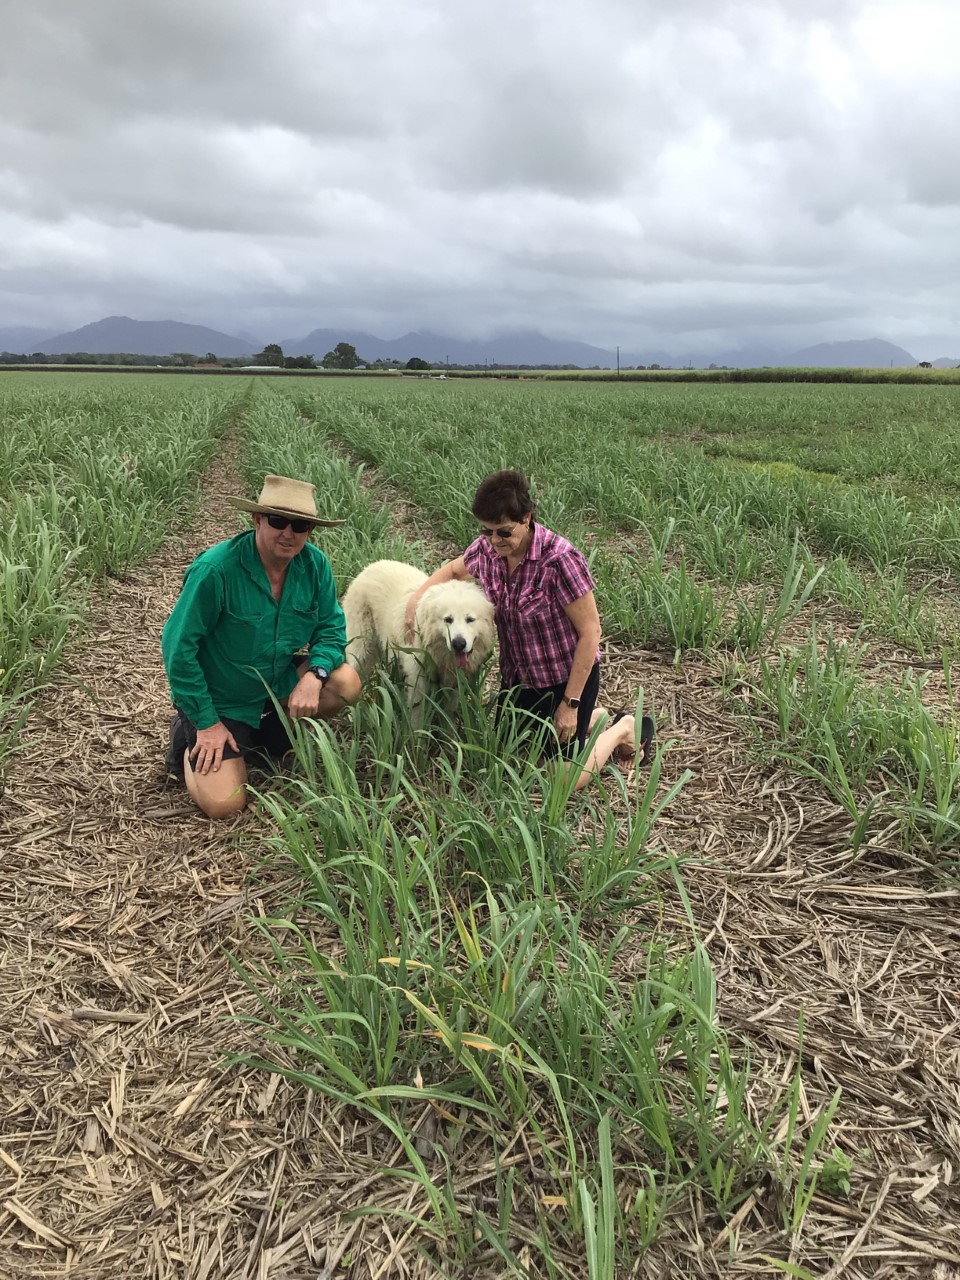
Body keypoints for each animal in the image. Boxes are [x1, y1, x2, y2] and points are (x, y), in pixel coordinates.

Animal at [343, 558, 496, 727]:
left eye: (470, 619)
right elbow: (417, 713)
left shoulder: (454, 683)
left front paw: (449, 731)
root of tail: (371, 566)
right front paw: (415, 733)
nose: (458, 644)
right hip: (362, 650)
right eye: (448, 620)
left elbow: (448, 712)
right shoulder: (417, 680)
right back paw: (352, 714)